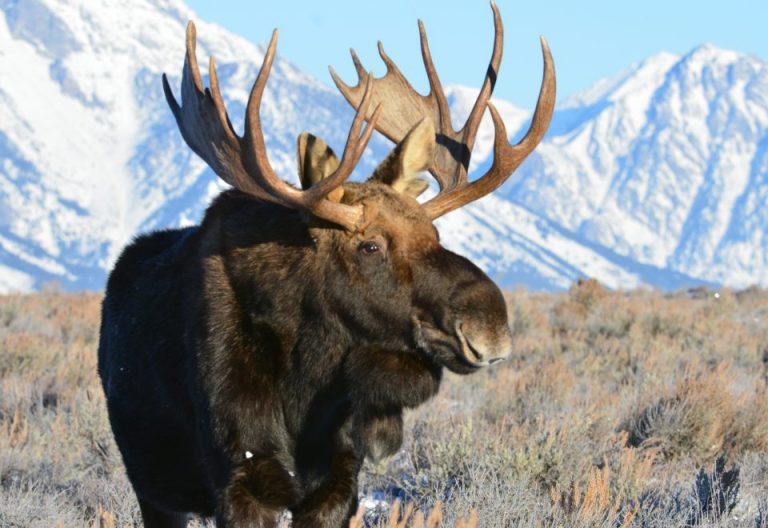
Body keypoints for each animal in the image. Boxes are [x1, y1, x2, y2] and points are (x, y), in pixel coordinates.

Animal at [97, 3, 555, 527]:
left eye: (435, 234)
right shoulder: (242, 481)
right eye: (370, 246)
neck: (306, 380)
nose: (490, 325)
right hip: (155, 489)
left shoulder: (338, 481)